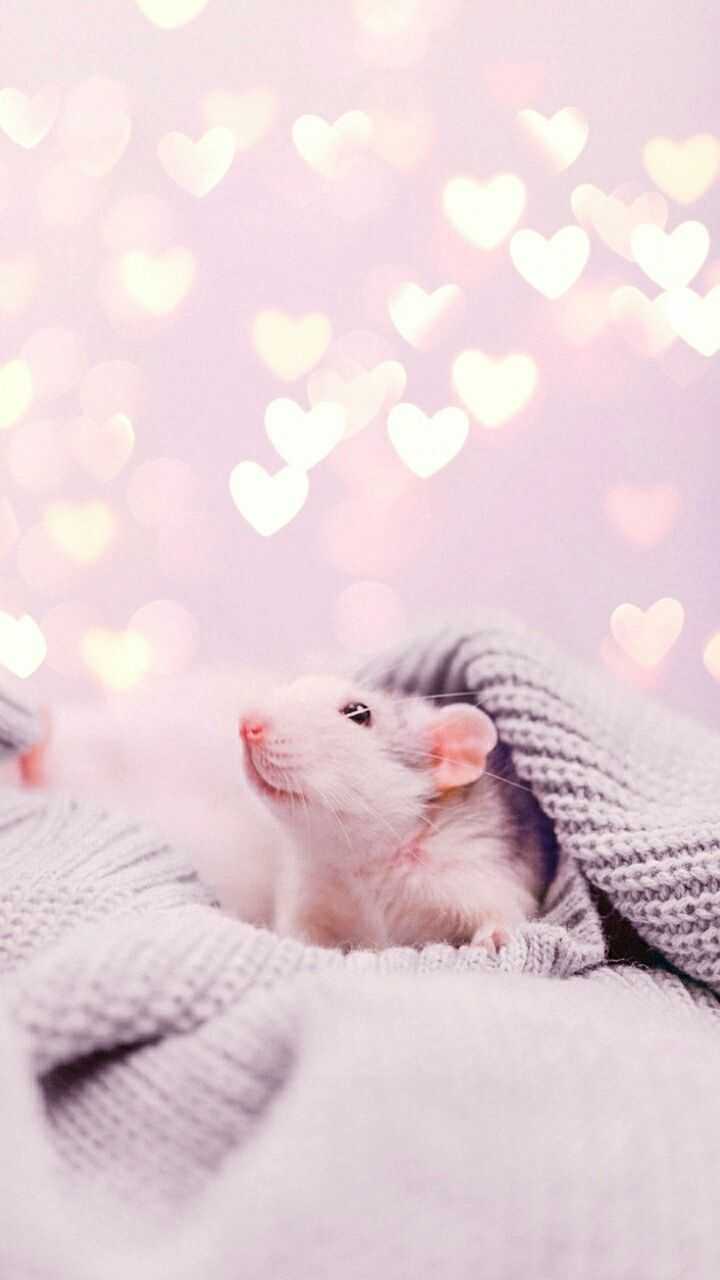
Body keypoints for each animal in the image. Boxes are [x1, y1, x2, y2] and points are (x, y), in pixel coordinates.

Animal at [239, 674, 556, 952]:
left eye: (357, 713)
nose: (248, 723)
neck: (366, 861)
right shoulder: (311, 887)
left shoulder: (474, 864)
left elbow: (507, 908)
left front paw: (495, 935)